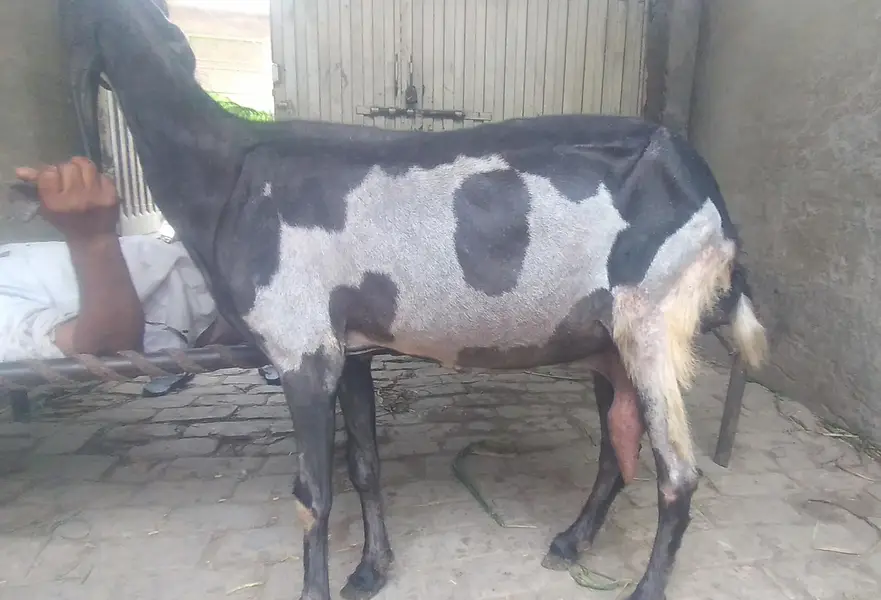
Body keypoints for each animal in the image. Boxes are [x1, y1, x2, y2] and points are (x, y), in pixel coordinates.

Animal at [62, 1, 768, 599]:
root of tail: (706, 189)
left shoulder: (301, 352)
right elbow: (363, 467)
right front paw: (370, 571)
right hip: (609, 339)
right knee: (618, 451)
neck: (229, 175)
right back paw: (570, 542)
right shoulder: (348, 349)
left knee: (678, 474)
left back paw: (644, 585)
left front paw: (318, 588)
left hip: (653, 319)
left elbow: (312, 492)